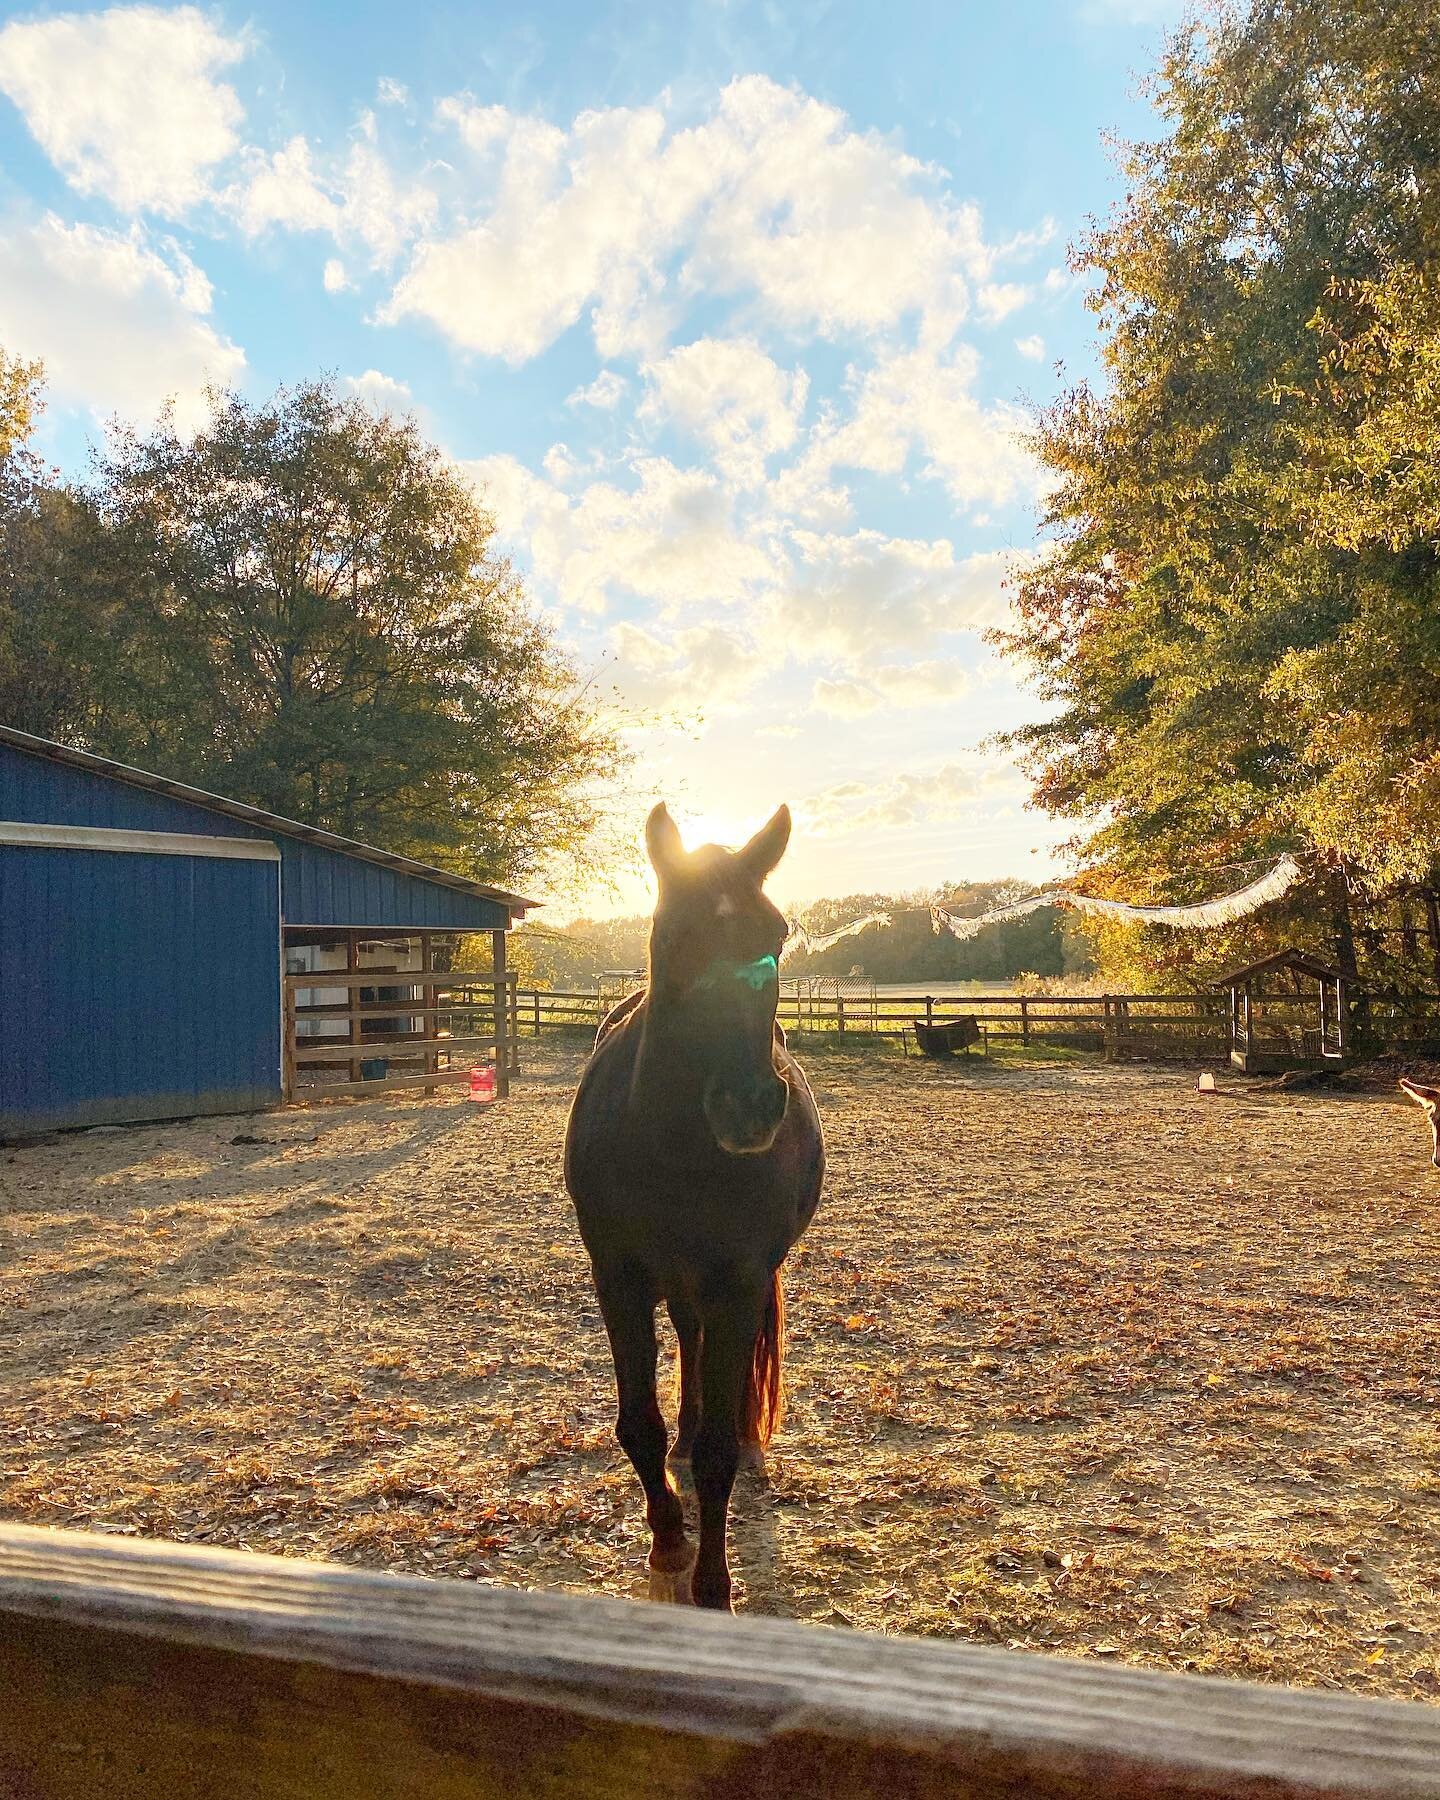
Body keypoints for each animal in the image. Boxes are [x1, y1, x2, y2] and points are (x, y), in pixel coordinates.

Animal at [568, 810, 828, 1612]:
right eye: (674, 936)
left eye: (776, 934)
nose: (750, 1106)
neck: (673, 1148)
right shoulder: (617, 1278)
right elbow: (638, 1426)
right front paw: (667, 1545)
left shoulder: (739, 1282)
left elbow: (717, 1453)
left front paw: (713, 1585)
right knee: (686, 1341)